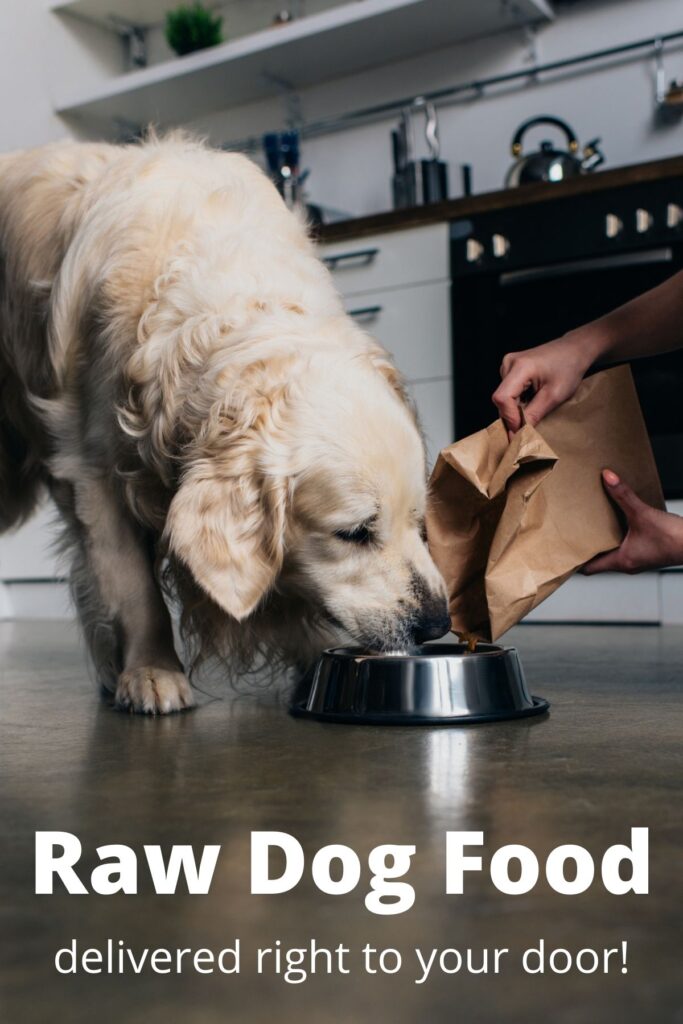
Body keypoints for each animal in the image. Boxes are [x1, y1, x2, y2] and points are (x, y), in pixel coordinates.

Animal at [0, 134, 450, 712]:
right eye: (353, 533)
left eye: (419, 521)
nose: (438, 622)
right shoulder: (92, 470)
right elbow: (133, 586)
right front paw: (152, 670)